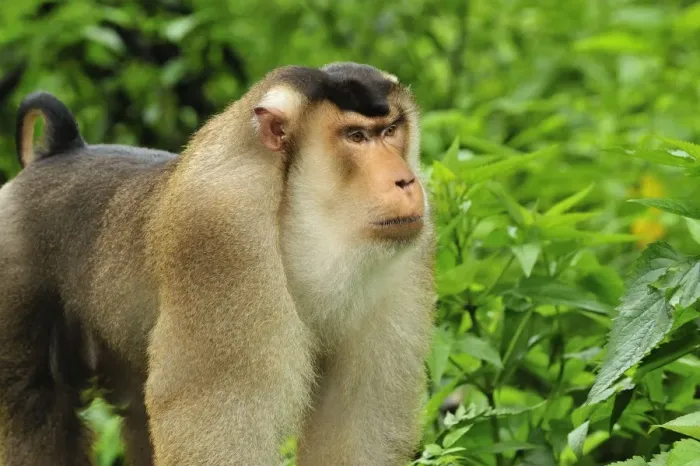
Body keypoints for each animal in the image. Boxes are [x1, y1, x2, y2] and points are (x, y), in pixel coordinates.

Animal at [0, 62, 436, 466]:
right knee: (32, 404)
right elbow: (218, 422)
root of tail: (60, 152)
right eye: (356, 136)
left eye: (390, 130)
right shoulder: (222, 236)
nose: (406, 181)